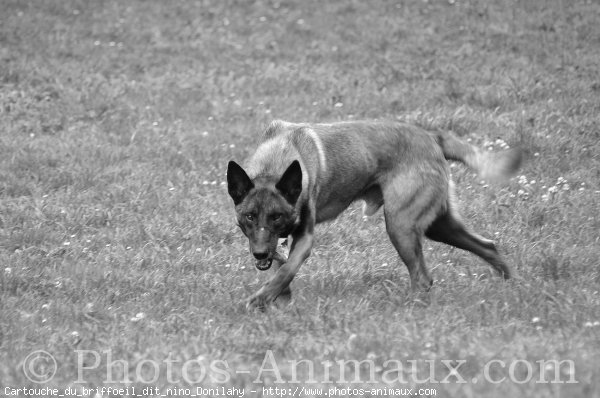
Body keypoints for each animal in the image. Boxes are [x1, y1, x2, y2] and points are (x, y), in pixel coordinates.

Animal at [225, 119, 520, 310]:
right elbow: (281, 273)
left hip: (401, 225)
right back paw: (510, 286)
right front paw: (277, 303)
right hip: (440, 225)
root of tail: (432, 137)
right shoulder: (277, 243)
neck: (276, 161)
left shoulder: (305, 237)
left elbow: (286, 270)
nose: (259, 254)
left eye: (276, 217)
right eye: (249, 216)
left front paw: (259, 300)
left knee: (423, 278)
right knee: (488, 245)